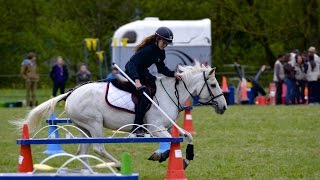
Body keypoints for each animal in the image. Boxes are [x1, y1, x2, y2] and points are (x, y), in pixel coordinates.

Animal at [13, 61, 228, 168]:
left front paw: (184, 159)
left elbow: (187, 136)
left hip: (84, 129)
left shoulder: (166, 127)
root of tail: (71, 92)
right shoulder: (156, 128)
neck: (170, 92)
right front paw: (163, 156)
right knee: (98, 148)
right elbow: (171, 144)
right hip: (94, 124)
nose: (224, 107)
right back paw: (116, 164)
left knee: (83, 152)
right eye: (214, 84)